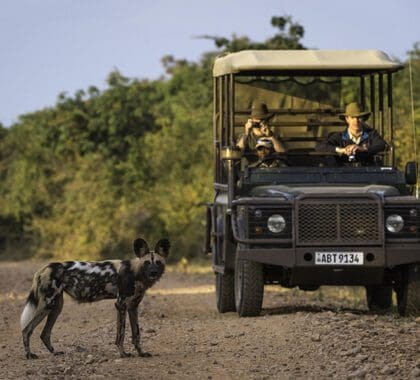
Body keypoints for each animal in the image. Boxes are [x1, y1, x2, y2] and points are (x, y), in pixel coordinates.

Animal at [20, 238, 169, 360]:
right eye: (147, 263)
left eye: (158, 263)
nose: (153, 273)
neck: (135, 271)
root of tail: (46, 267)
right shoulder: (121, 305)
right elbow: (121, 335)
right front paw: (123, 354)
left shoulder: (133, 307)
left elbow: (136, 334)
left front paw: (141, 353)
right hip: (48, 304)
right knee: (26, 330)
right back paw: (29, 355)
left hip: (57, 307)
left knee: (44, 334)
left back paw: (54, 352)